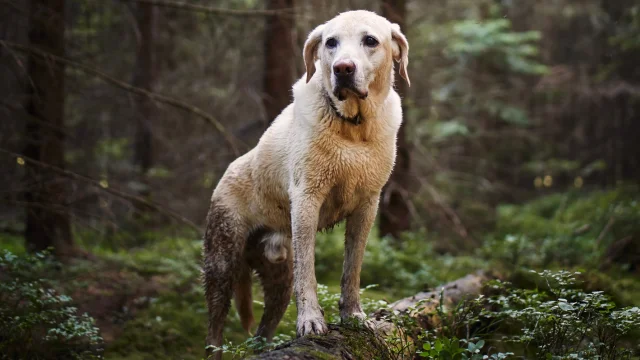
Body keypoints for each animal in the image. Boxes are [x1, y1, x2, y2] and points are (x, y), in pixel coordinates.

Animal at [202, 9, 408, 358]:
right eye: (330, 43)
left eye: (370, 40)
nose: (342, 68)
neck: (353, 127)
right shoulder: (307, 201)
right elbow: (308, 272)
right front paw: (311, 322)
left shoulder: (368, 206)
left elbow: (352, 269)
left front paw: (354, 316)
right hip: (222, 263)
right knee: (214, 328)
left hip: (277, 281)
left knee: (264, 329)